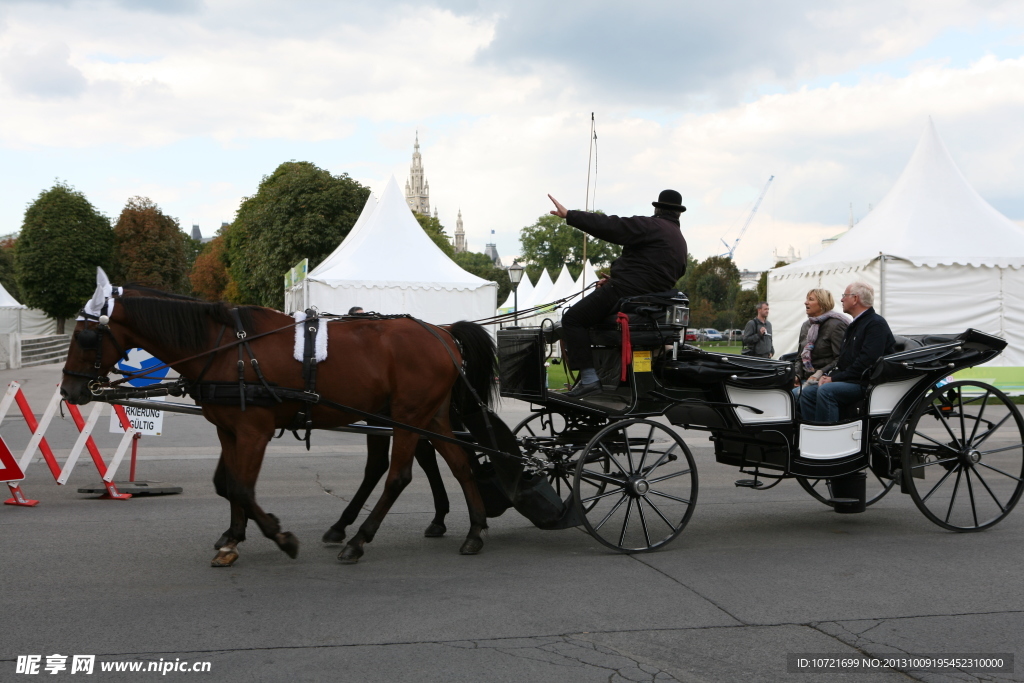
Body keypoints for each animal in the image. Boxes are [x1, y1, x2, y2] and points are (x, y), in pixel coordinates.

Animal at [60, 284, 499, 565]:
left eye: (84, 337)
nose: (69, 389)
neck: (225, 347)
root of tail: (441, 332)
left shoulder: (254, 431)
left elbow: (241, 486)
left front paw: (279, 535)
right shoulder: (228, 430)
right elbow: (226, 484)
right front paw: (233, 537)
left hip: (407, 418)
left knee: (398, 477)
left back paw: (359, 539)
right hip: (430, 415)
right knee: (460, 464)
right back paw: (475, 530)